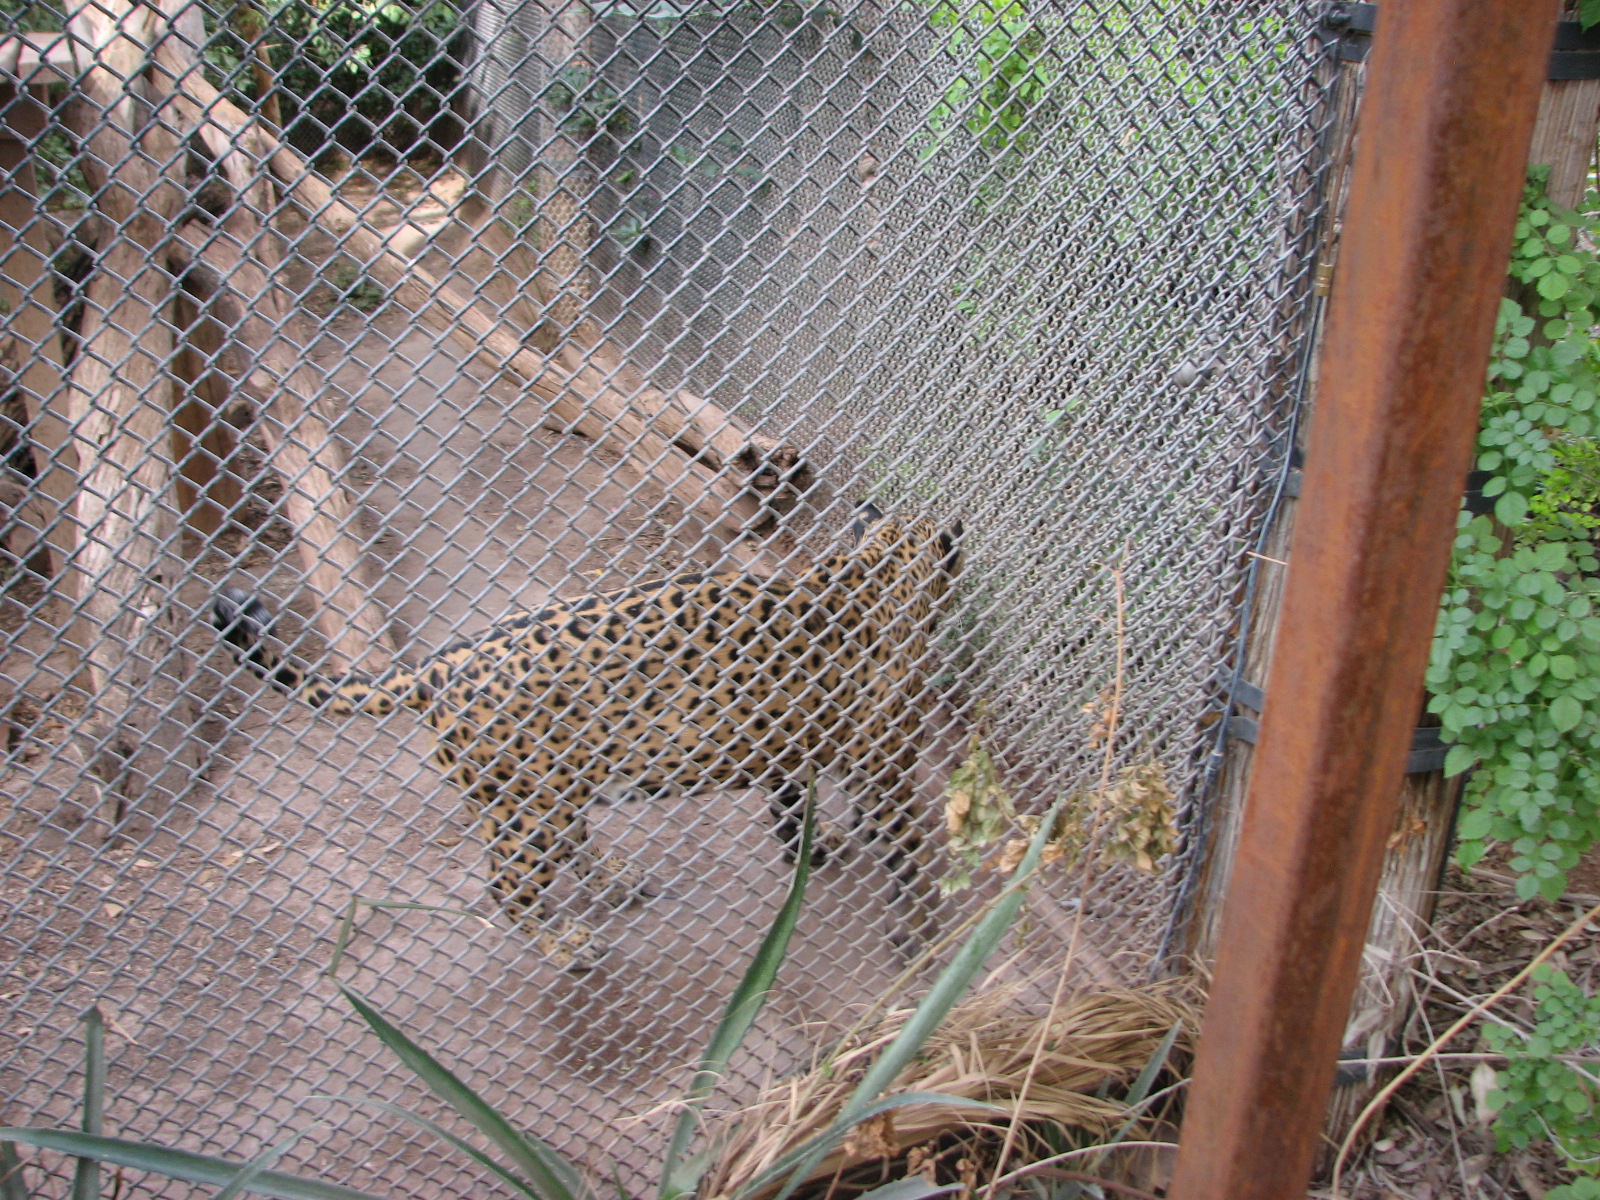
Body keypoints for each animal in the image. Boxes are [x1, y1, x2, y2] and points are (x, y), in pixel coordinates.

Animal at [211, 504, 962, 969]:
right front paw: (916, 926)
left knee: (571, 843)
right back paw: (566, 948)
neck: (878, 570)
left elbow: (792, 803)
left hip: (552, 790)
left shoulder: (791, 742)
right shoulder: (886, 762)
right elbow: (906, 847)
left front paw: (817, 845)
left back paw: (615, 880)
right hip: (526, 810)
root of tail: (436, 665)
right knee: (506, 888)